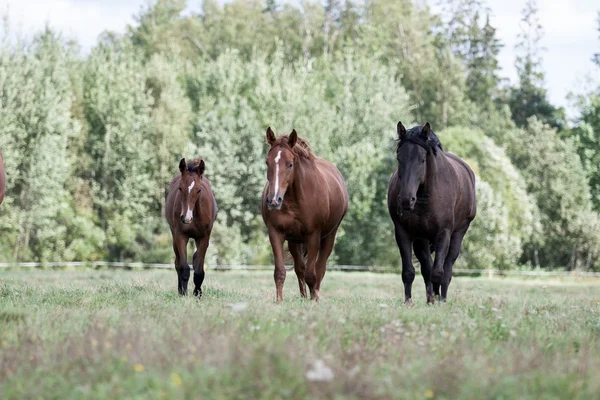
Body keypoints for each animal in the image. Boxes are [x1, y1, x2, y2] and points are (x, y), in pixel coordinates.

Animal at [165, 158, 217, 296]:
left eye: (198, 189)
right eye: (180, 188)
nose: (186, 218)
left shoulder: (204, 238)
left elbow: (199, 271)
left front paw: (197, 294)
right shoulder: (180, 236)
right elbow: (183, 267)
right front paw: (183, 293)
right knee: (177, 263)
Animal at [260, 128, 350, 304]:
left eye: (290, 164)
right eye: (268, 162)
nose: (273, 200)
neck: (294, 200)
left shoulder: (313, 235)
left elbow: (312, 274)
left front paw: (313, 300)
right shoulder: (276, 233)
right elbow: (280, 272)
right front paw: (279, 301)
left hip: (328, 236)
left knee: (319, 269)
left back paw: (314, 296)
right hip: (294, 241)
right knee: (300, 269)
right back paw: (303, 296)